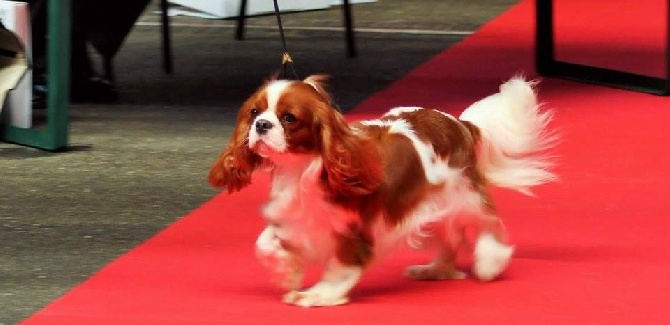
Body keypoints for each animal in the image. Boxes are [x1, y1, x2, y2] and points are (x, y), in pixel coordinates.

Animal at [210, 75, 556, 306]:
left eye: (289, 118)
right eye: (255, 113)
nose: (262, 126)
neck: (301, 169)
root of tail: (460, 124)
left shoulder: (353, 228)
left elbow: (341, 266)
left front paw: (320, 294)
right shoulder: (293, 216)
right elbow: (265, 243)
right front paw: (287, 272)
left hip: (463, 194)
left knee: (489, 223)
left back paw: (489, 263)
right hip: (425, 209)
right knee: (450, 239)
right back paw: (436, 270)